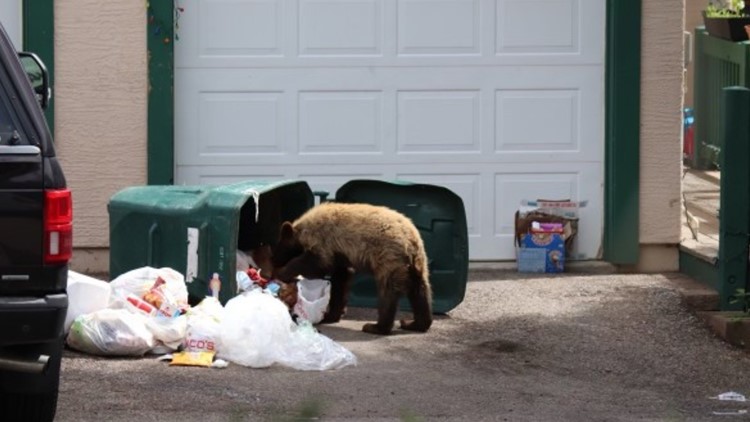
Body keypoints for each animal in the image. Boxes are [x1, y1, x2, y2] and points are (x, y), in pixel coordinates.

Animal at [270, 202, 433, 335]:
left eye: (278, 248)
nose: (273, 261)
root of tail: (411, 240)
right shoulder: (340, 254)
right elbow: (341, 279)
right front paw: (332, 314)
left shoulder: (323, 240)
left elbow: (317, 264)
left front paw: (284, 272)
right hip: (416, 263)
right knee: (420, 291)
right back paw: (414, 323)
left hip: (388, 255)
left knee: (388, 292)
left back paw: (376, 326)